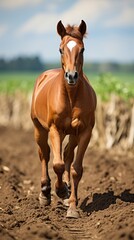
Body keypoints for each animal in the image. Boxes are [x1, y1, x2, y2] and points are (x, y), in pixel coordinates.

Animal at [31, 20, 96, 218]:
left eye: (82, 49)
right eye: (60, 49)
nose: (71, 76)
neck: (70, 97)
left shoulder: (84, 131)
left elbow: (75, 168)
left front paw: (72, 205)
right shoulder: (55, 129)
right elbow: (57, 164)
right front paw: (59, 190)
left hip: (72, 134)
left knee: (67, 154)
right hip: (39, 129)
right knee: (44, 154)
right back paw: (45, 193)